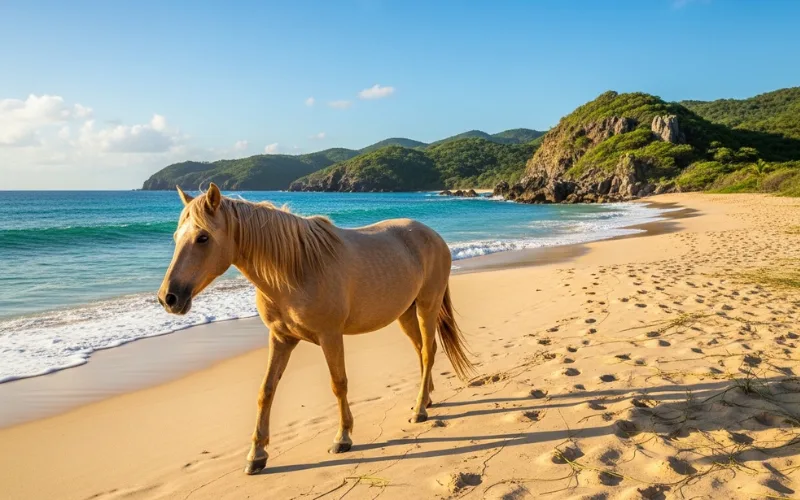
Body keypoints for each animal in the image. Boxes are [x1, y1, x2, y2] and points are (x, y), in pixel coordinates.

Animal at [157, 183, 474, 475]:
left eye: (203, 237)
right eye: (176, 237)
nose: (168, 298)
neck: (295, 270)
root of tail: (434, 237)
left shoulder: (330, 336)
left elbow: (338, 383)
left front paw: (343, 437)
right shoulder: (281, 339)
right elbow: (266, 391)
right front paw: (256, 455)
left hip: (426, 307)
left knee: (428, 352)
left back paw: (419, 410)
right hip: (406, 313)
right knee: (421, 351)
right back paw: (426, 399)